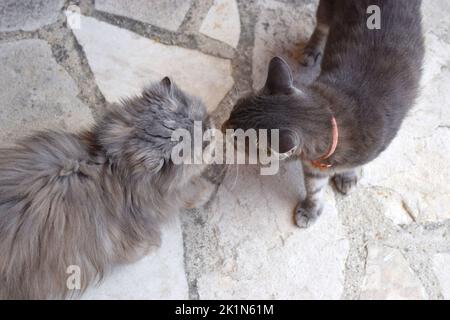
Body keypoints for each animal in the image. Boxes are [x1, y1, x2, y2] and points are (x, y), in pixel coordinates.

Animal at [0, 78, 214, 300]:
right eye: (202, 145)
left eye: (205, 120)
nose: (211, 132)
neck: (112, 163)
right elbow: (190, 193)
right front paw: (209, 189)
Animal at [225, 1, 426, 229]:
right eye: (233, 109)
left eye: (237, 139)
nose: (222, 125)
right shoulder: (313, 169)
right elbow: (314, 189)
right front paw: (310, 209)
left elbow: (353, 166)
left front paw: (347, 176)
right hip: (327, 10)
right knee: (321, 27)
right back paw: (311, 51)